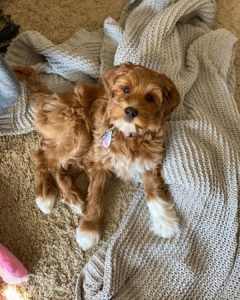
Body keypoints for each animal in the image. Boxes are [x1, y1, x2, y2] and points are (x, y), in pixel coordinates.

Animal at [13, 63, 180, 251]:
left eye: (150, 97)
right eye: (126, 89)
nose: (130, 111)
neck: (127, 135)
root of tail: (51, 97)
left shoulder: (148, 162)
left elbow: (154, 190)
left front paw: (165, 221)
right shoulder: (98, 162)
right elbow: (95, 194)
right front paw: (88, 230)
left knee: (58, 167)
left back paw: (73, 200)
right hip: (78, 134)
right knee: (41, 157)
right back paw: (45, 197)